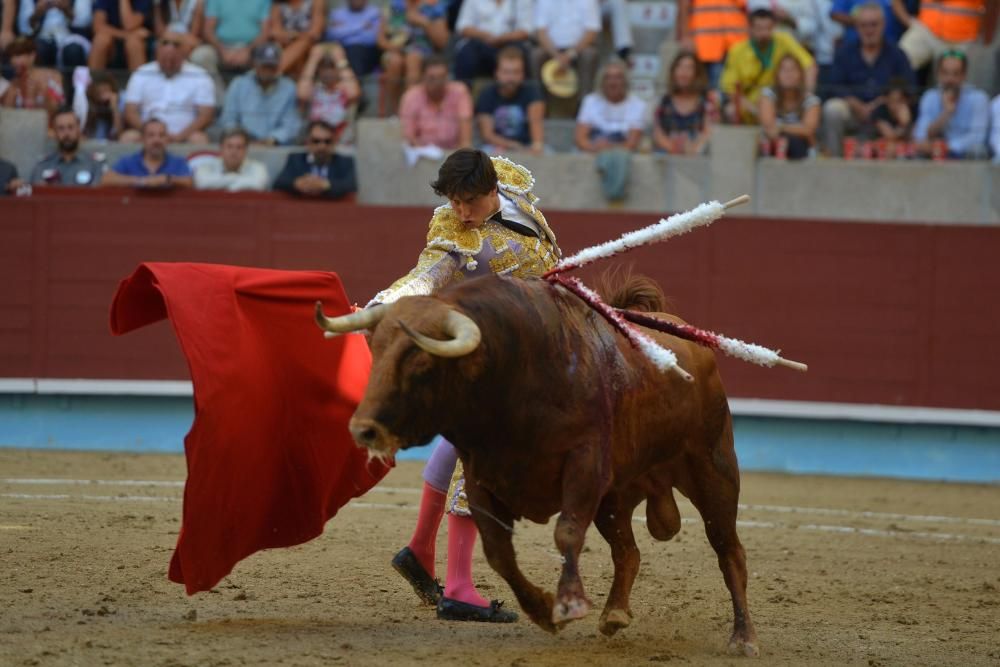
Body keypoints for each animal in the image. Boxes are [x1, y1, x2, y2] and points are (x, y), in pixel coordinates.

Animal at [316, 272, 760, 656]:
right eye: (375, 352)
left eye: (423, 364)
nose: (364, 429)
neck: (513, 374)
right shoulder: (482, 476)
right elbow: (498, 553)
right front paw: (544, 610)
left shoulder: (584, 465)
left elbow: (566, 532)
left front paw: (568, 603)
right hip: (615, 496)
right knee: (627, 551)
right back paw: (614, 614)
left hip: (713, 471)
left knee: (729, 550)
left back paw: (743, 637)